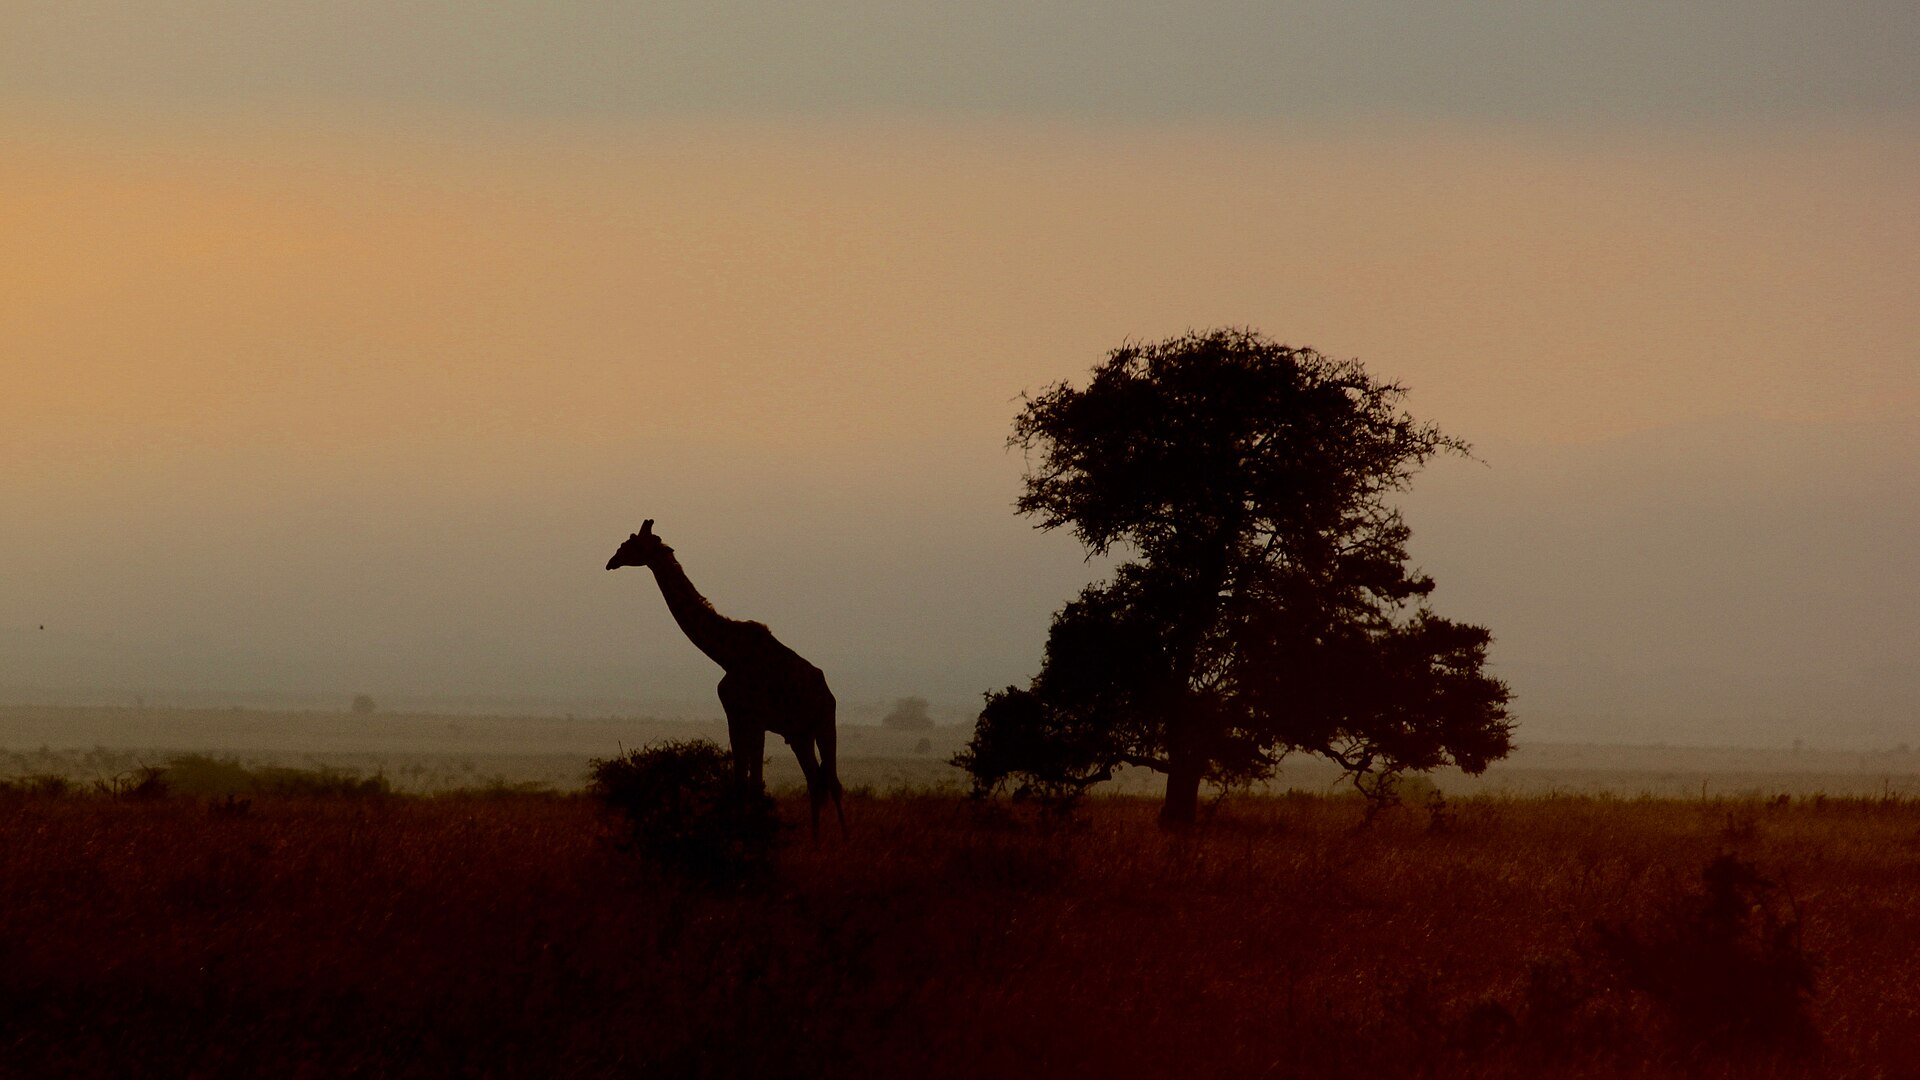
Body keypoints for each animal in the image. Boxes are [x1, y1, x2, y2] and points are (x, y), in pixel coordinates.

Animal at [605, 520, 845, 835]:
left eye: (632, 542)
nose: (611, 561)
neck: (725, 654)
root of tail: (828, 692)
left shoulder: (754, 718)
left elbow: (753, 785)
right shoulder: (737, 716)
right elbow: (741, 783)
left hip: (824, 723)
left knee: (833, 783)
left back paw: (844, 840)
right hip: (799, 734)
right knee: (816, 783)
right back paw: (816, 841)